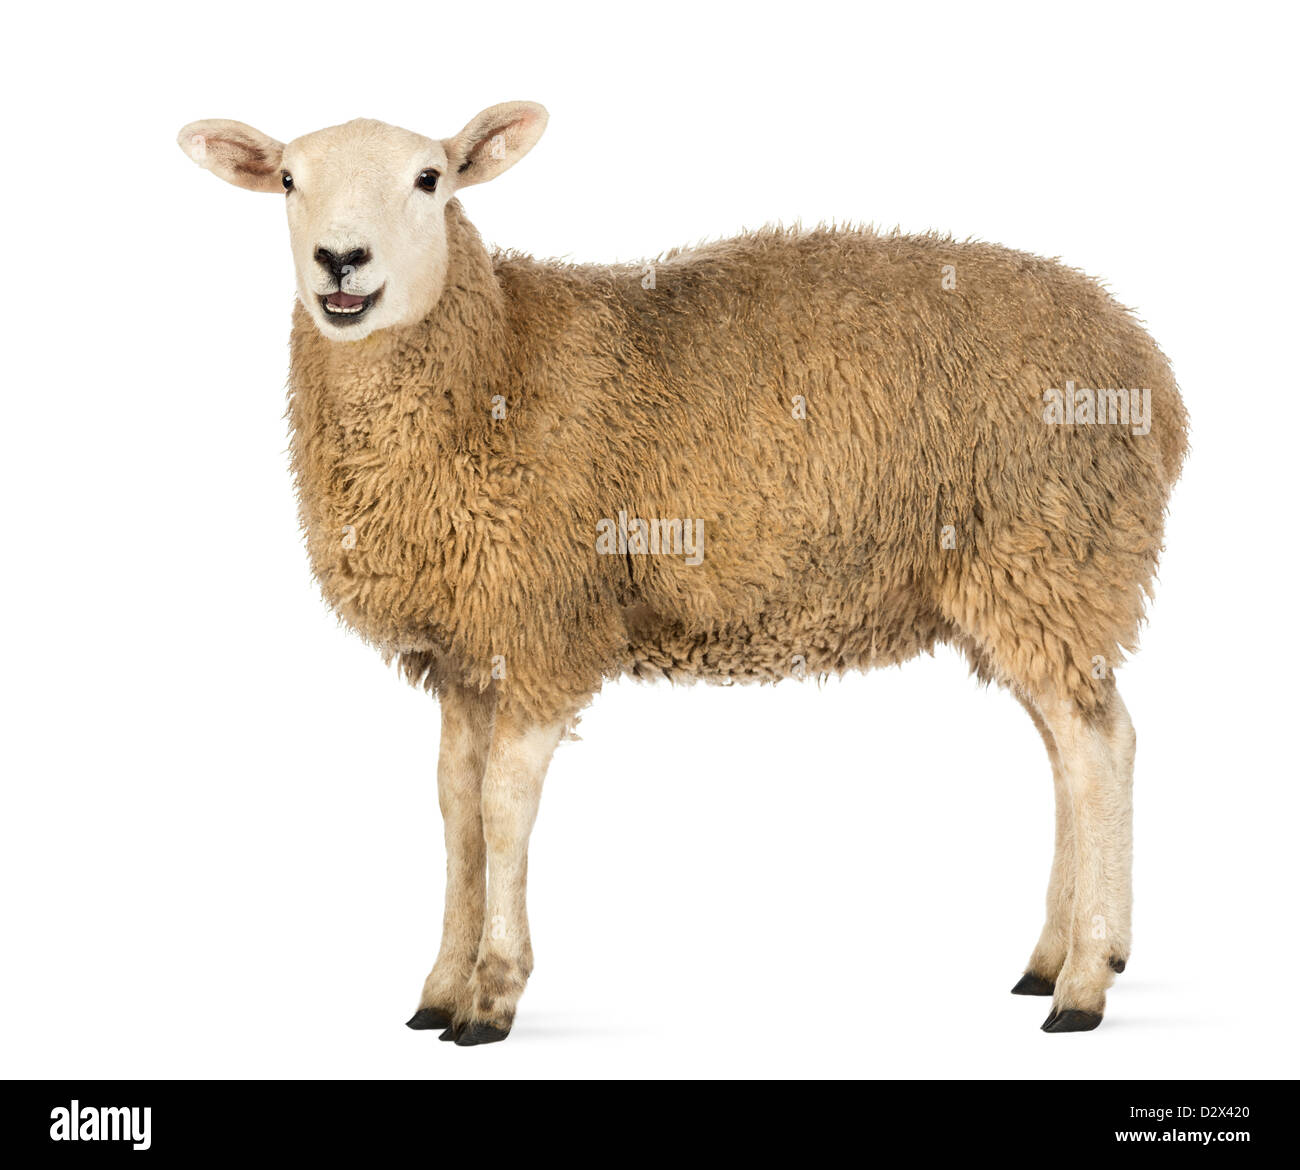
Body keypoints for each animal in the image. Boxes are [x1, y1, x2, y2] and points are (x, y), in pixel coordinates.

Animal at [175, 96, 1190, 1040]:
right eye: (290, 181)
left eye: (430, 179)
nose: (341, 261)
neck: (496, 360)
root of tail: (1150, 369)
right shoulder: (468, 648)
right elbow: (455, 809)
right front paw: (438, 987)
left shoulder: (549, 622)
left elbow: (504, 807)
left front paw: (492, 994)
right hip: (1024, 584)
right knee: (1066, 752)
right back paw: (1055, 956)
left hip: (1053, 551)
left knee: (1103, 746)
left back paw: (1086, 984)